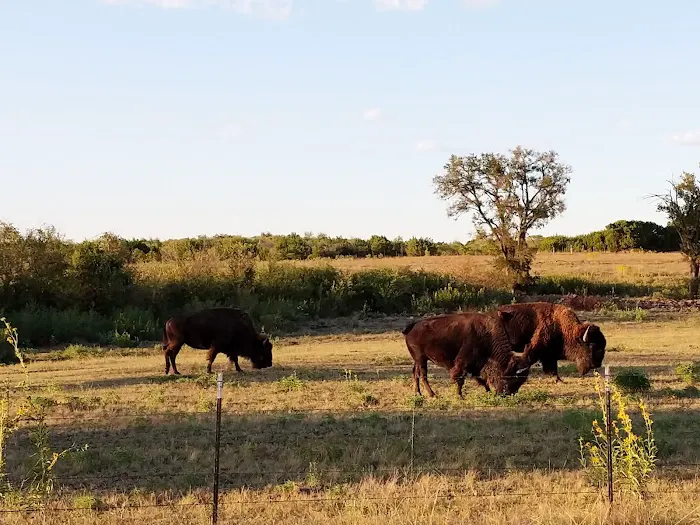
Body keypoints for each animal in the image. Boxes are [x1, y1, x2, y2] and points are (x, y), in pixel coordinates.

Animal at [402, 310, 531, 398]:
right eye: (513, 378)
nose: (506, 394)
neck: (487, 334)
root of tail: (412, 327)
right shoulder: (464, 363)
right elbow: (460, 379)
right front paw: (460, 396)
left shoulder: (478, 365)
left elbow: (482, 379)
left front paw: (488, 392)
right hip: (421, 360)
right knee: (423, 376)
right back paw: (433, 395)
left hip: (418, 360)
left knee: (416, 374)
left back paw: (418, 393)